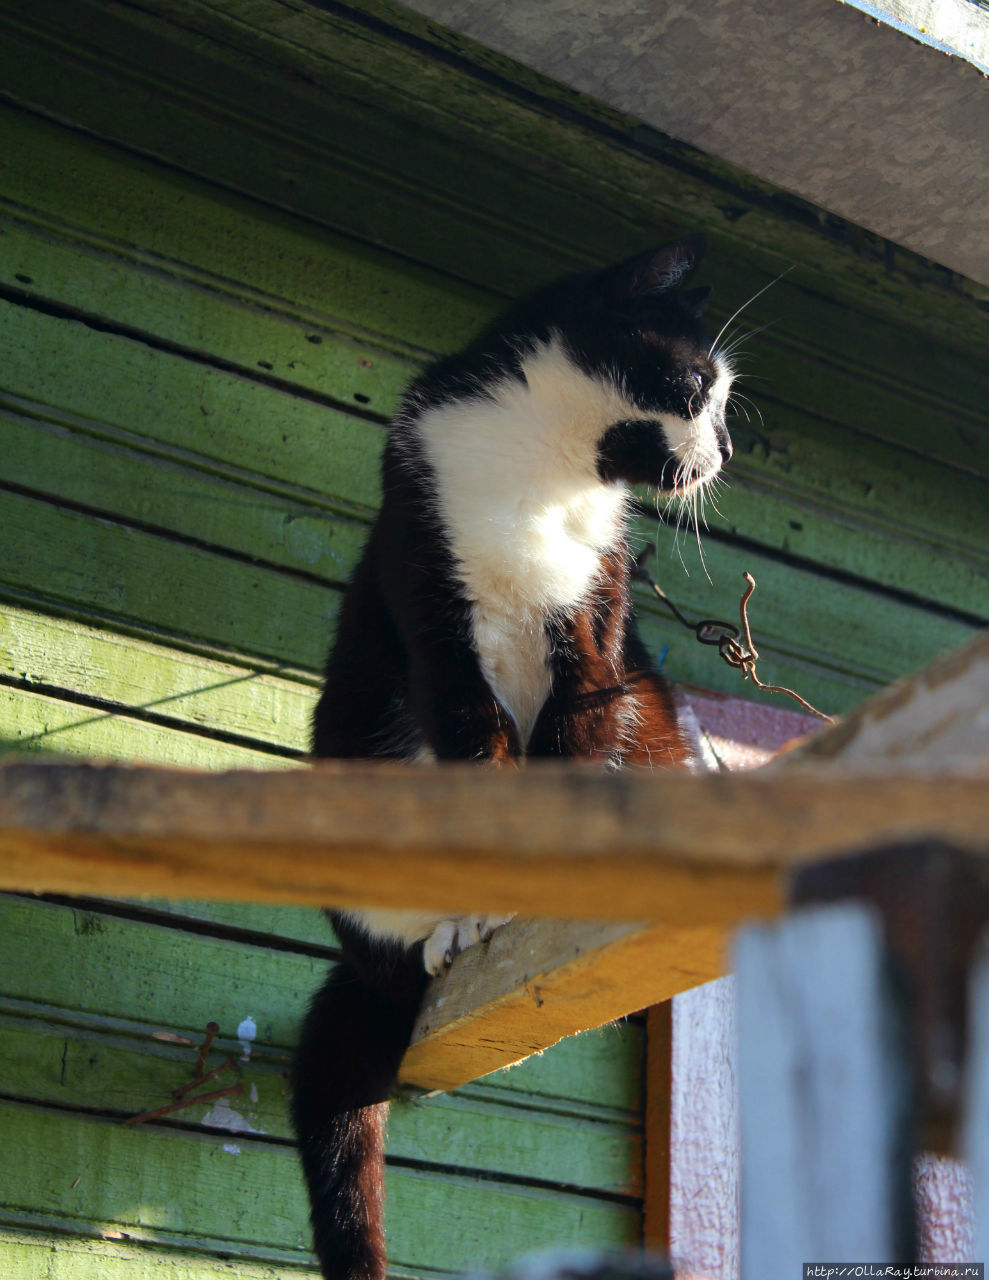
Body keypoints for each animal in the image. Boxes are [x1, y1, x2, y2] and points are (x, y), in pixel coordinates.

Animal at [289, 232, 726, 1280]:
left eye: (728, 403)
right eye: (701, 386)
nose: (726, 453)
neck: (544, 469)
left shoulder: (596, 625)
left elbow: (574, 740)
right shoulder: (432, 596)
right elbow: (473, 746)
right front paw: (491, 893)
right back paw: (444, 933)